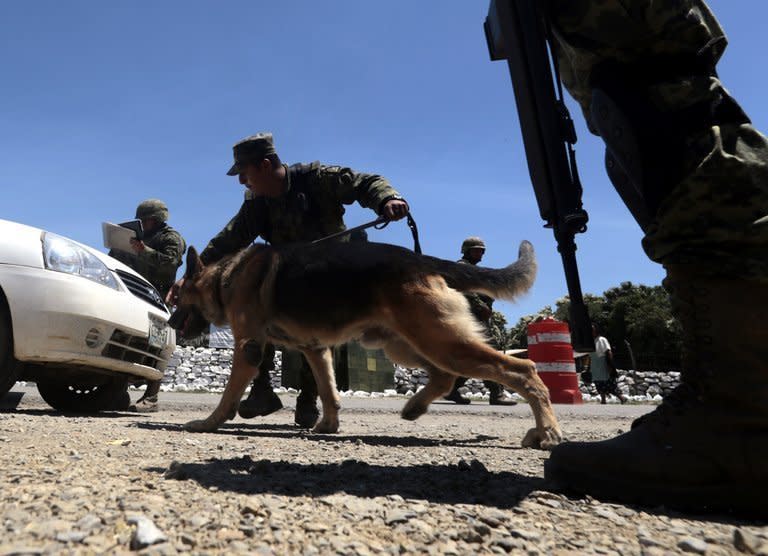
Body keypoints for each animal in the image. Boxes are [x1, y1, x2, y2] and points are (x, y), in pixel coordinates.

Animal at [171, 241, 560, 450]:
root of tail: (422, 260)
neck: (224, 277)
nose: (171, 323)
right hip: (405, 345)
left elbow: (228, 394)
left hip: (439, 342)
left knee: (522, 368)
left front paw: (208, 422)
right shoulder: (315, 349)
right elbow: (328, 390)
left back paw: (547, 431)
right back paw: (415, 407)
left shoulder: (248, 348)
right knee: (444, 377)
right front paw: (328, 425)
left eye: (176, 297)